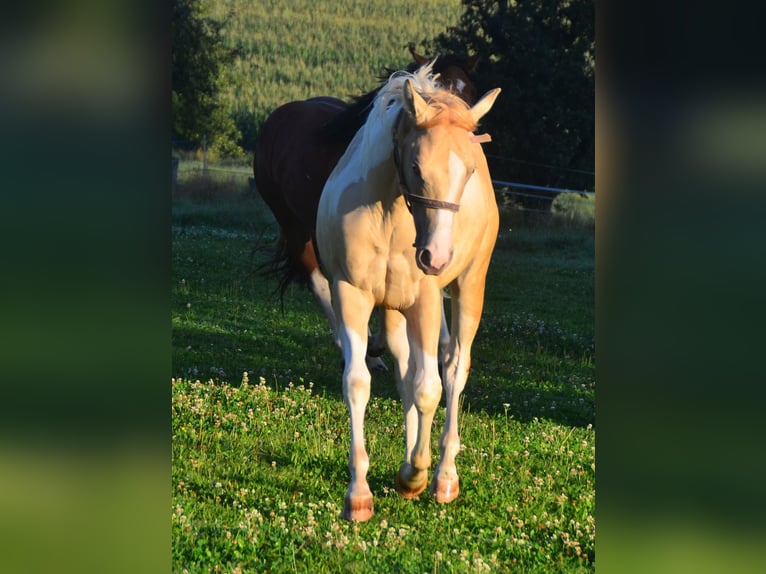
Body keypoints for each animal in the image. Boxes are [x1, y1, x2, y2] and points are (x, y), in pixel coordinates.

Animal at [316, 62, 500, 520]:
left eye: (468, 171)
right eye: (416, 167)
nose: (436, 257)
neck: (389, 212)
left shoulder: (427, 301)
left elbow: (429, 388)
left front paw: (416, 475)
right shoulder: (351, 294)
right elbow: (360, 382)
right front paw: (359, 494)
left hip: (468, 288)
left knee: (453, 370)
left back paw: (443, 476)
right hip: (394, 310)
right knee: (405, 371)